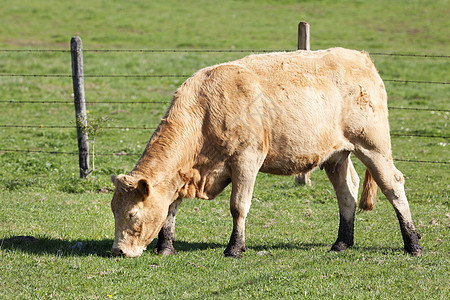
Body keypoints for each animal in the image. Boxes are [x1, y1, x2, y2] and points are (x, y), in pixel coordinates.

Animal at [110, 47, 424, 258]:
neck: (204, 110)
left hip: (374, 146)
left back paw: (413, 243)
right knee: (347, 193)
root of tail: (360, 57)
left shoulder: (247, 160)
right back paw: (341, 243)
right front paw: (165, 247)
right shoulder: (182, 174)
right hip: (336, 155)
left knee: (393, 185)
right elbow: (171, 207)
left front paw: (234, 248)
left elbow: (238, 206)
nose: (118, 251)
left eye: (133, 214)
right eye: (114, 210)